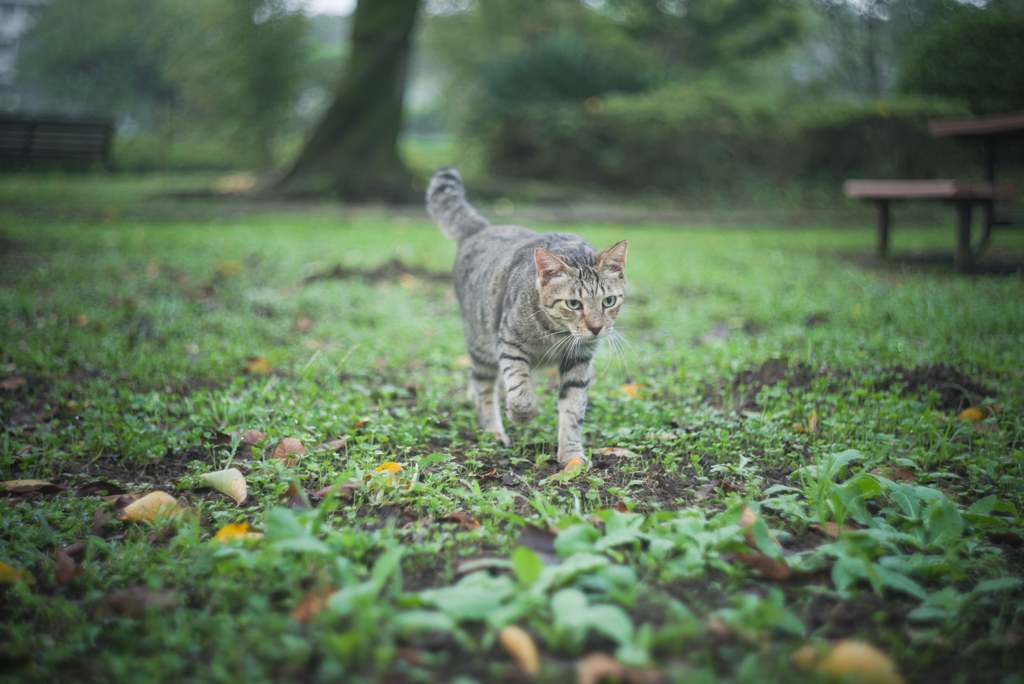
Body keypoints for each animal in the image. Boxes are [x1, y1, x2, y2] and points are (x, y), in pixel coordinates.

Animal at [423, 166, 622, 464]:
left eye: (608, 301)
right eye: (574, 304)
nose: (597, 328)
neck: (556, 334)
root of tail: (484, 227)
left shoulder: (579, 360)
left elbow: (573, 410)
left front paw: (572, 456)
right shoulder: (509, 343)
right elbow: (520, 392)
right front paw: (522, 416)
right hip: (481, 341)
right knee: (484, 388)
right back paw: (494, 430)